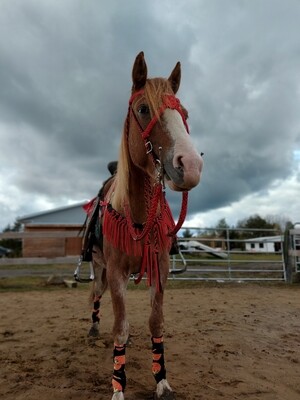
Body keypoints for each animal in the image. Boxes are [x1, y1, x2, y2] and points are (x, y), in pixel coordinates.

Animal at [88, 51, 203, 398]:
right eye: (143, 109)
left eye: (185, 113)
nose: (190, 165)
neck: (138, 214)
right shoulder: (115, 273)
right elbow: (120, 329)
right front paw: (117, 386)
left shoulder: (160, 268)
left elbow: (156, 322)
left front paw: (161, 379)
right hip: (98, 266)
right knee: (96, 294)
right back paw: (93, 329)